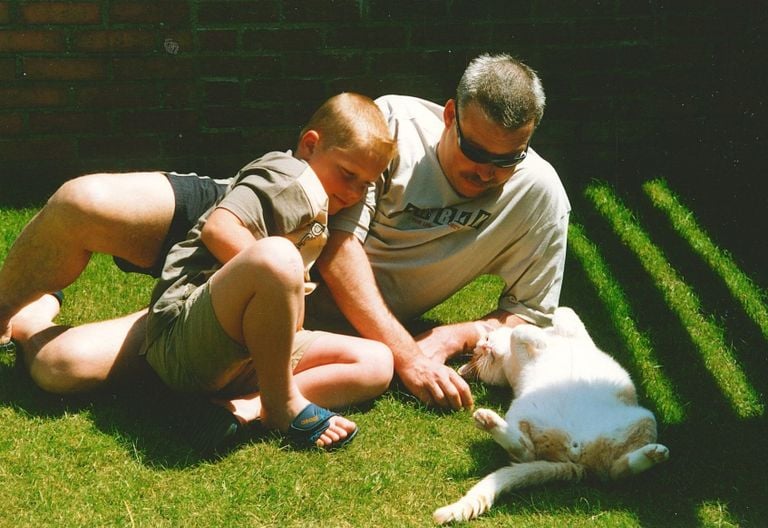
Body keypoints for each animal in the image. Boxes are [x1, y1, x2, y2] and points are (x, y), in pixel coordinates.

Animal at [436, 306, 668, 524]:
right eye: (480, 354)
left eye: (484, 344)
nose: (485, 348)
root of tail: (578, 459)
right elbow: (521, 331)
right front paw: (537, 335)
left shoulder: (571, 328)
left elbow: (561, 312)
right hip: (521, 410)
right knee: (528, 452)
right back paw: (486, 420)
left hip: (645, 418)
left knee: (616, 469)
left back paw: (653, 454)